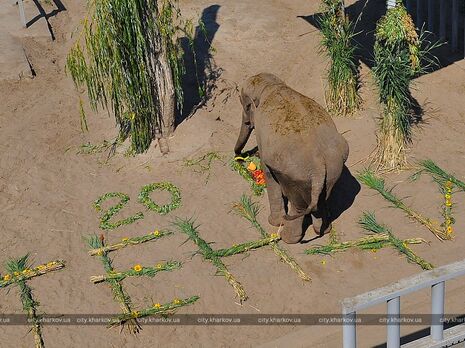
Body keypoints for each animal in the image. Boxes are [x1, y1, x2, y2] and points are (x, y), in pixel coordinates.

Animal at [232, 72, 348, 243]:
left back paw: (288, 238)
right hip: (333, 172)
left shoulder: (262, 133)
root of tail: (318, 164)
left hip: (294, 177)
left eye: (245, 105)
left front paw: (274, 222)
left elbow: (268, 172)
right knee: (321, 202)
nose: (239, 156)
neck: (270, 85)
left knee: (298, 205)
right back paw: (323, 230)